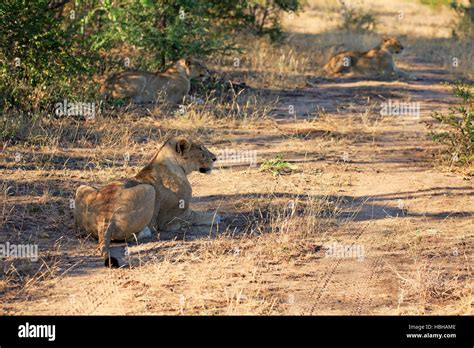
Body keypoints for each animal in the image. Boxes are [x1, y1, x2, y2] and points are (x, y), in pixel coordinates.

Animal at [74, 137, 220, 268]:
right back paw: (146, 231)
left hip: (81, 187)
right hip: (149, 189)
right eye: (200, 148)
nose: (215, 158)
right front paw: (215, 216)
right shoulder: (172, 219)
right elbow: (197, 215)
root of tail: (103, 217)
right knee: (129, 237)